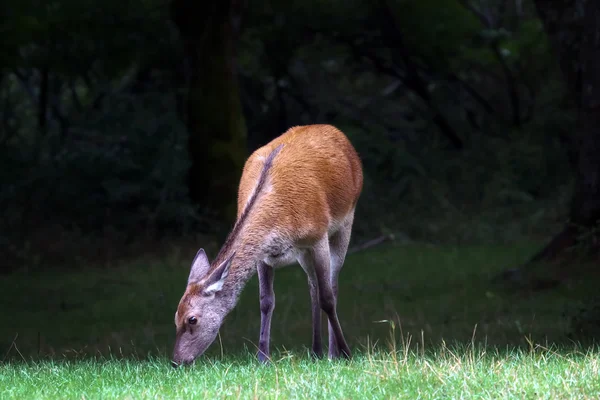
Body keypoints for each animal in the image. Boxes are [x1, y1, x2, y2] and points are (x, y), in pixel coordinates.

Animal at [171, 123, 364, 368]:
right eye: (175, 317)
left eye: (192, 319)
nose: (176, 361)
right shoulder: (263, 255)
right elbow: (266, 301)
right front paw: (262, 356)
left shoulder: (317, 235)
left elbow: (328, 298)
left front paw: (346, 353)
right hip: (304, 253)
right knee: (312, 286)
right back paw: (316, 351)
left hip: (346, 221)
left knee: (332, 285)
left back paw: (331, 352)